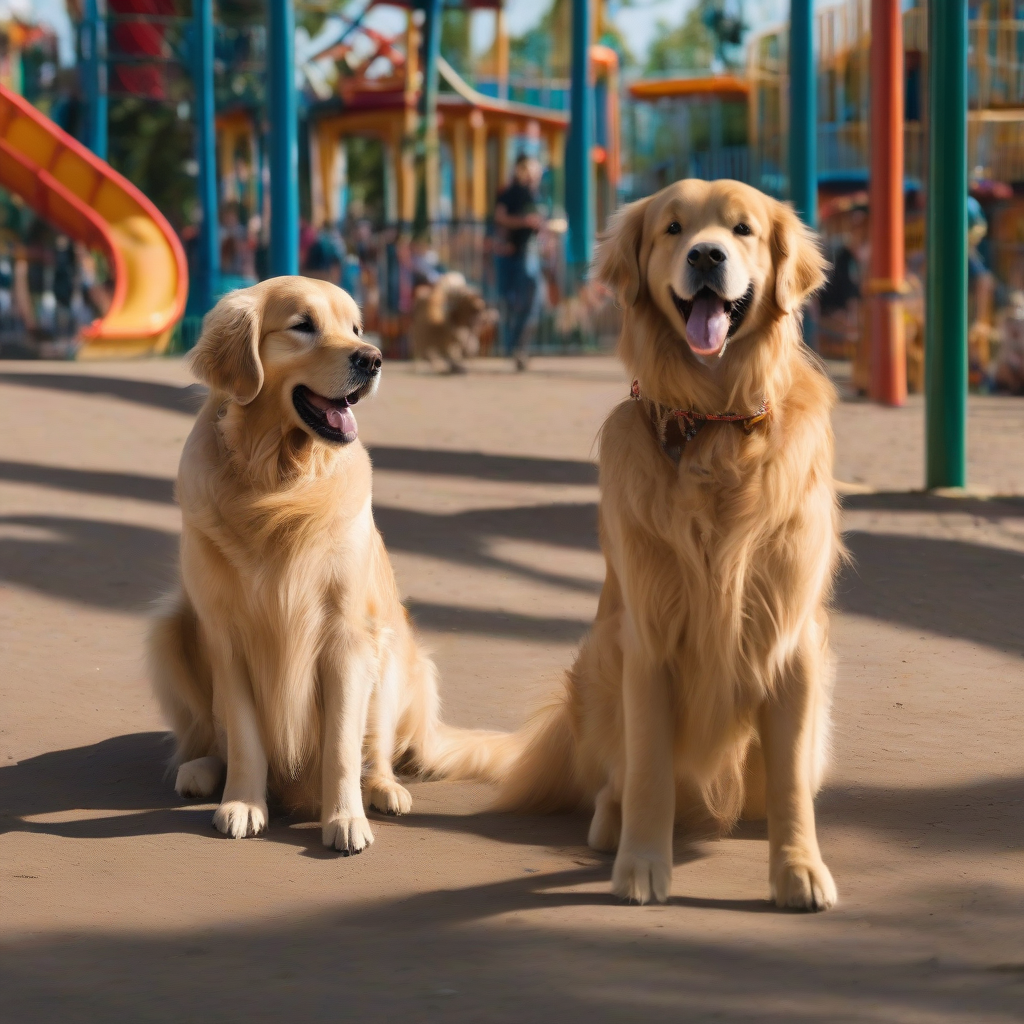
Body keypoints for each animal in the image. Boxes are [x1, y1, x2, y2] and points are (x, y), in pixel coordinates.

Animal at [145, 276, 491, 851]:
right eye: (303, 325)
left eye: (355, 326)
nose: (373, 358)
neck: (279, 480)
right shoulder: (226, 634)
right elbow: (244, 735)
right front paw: (243, 803)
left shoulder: (346, 636)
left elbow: (341, 746)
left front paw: (345, 819)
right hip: (169, 628)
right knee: (208, 736)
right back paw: (201, 770)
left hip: (392, 651)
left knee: (377, 751)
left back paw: (385, 789)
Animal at [462, 178, 839, 913]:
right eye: (672, 228)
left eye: (743, 230)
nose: (706, 256)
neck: (715, 422)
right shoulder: (649, 637)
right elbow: (649, 770)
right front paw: (640, 864)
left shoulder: (792, 641)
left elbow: (788, 787)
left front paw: (799, 869)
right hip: (597, 662)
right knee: (614, 775)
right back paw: (610, 823)